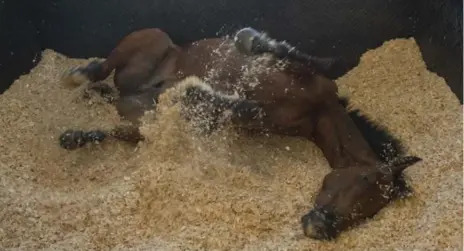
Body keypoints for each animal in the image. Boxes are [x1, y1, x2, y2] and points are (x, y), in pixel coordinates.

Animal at [59, 27, 422, 241]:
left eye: (371, 212)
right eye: (365, 182)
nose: (318, 227)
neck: (318, 110)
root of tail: (127, 94)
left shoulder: (266, 119)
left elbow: (238, 108)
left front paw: (195, 94)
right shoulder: (304, 72)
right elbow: (291, 53)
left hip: (139, 120)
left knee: (116, 126)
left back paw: (77, 133)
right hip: (150, 38)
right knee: (102, 68)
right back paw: (78, 75)